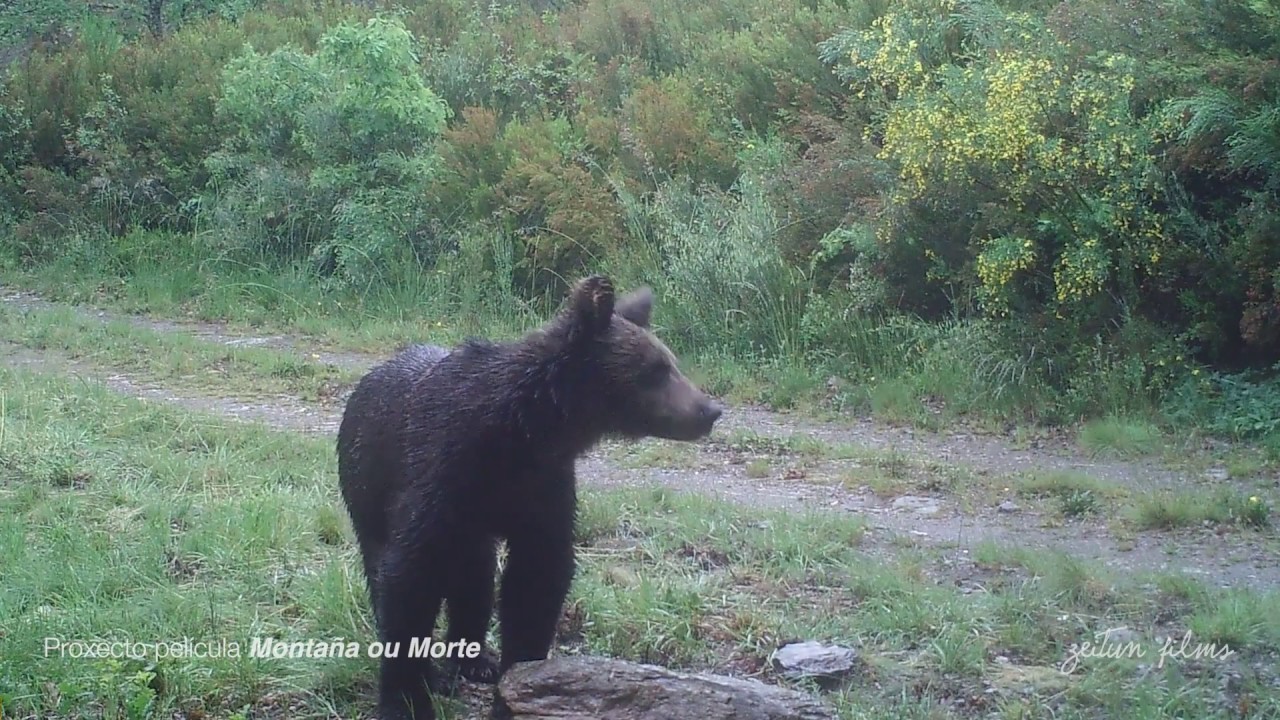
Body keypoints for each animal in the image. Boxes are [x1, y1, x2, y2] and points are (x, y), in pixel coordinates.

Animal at [335, 275, 724, 720]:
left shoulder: (542, 485)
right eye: (654, 370)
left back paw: (474, 658)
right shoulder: (440, 472)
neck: (522, 430)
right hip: (366, 489)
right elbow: (409, 579)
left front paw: (519, 685)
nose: (710, 409)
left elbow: (536, 579)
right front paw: (408, 698)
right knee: (385, 562)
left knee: (474, 574)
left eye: (670, 362)